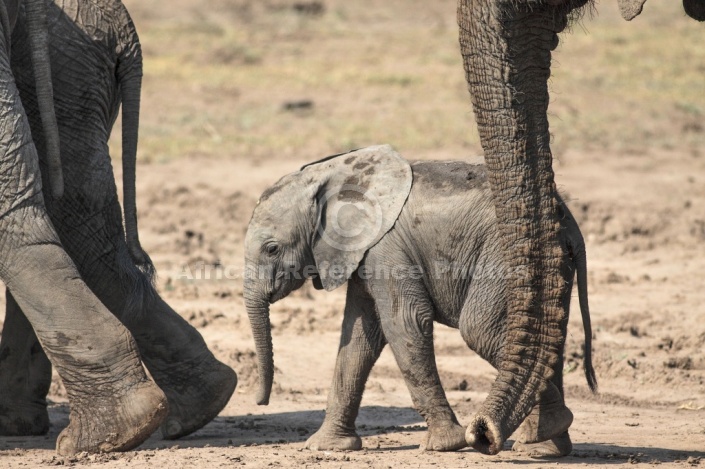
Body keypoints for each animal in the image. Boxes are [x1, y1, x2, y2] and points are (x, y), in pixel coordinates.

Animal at [242, 144, 592, 456]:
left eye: (272, 249)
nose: (261, 401)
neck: (333, 172)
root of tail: (571, 226)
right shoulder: (363, 254)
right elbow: (358, 338)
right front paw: (325, 447)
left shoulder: (387, 249)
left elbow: (404, 324)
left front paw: (444, 445)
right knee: (547, 335)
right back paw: (544, 447)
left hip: (506, 260)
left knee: (479, 330)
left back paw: (544, 432)